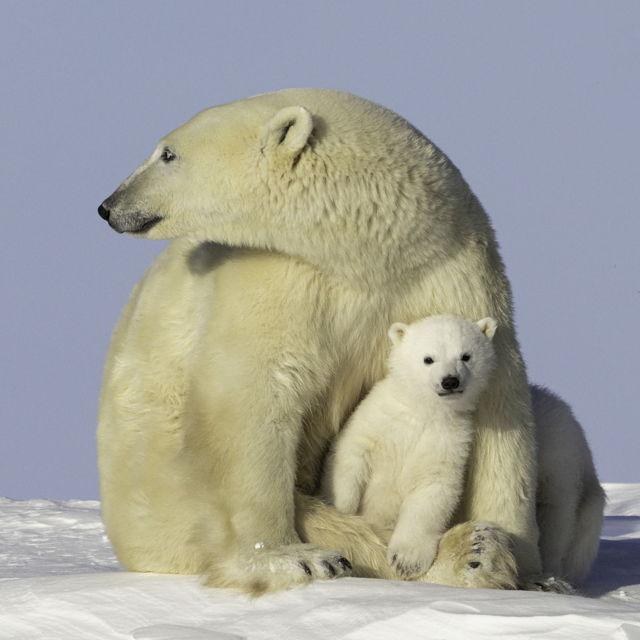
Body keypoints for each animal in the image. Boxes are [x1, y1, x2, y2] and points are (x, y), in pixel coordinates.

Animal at [324, 314, 499, 581]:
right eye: (428, 358)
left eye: (466, 356)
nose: (450, 381)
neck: (425, 410)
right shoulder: (379, 418)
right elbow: (350, 453)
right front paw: (342, 507)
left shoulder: (447, 441)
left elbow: (431, 495)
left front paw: (406, 561)